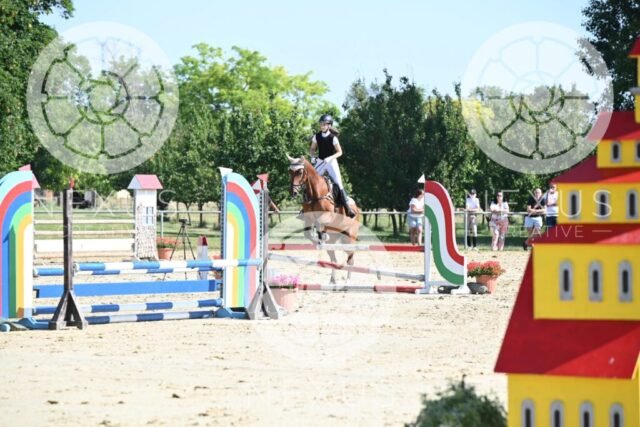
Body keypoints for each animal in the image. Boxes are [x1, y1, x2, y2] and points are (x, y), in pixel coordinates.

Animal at [287, 155, 360, 283]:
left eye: (300, 172)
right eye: (290, 171)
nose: (293, 192)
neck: (315, 193)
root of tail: (357, 208)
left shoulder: (328, 215)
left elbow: (319, 221)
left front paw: (322, 236)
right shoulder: (308, 218)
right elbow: (307, 233)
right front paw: (318, 239)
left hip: (350, 237)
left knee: (350, 258)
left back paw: (348, 281)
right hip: (337, 237)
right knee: (334, 259)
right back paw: (332, 280)